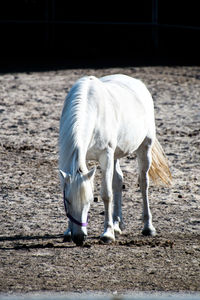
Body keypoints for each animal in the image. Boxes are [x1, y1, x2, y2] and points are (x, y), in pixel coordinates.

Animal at [58, 74, 171, 246]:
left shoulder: (106, 155)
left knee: (143, 183)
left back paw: (148, 227)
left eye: (89, 201)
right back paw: (118, 224)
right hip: (116, 155)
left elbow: (106, 194)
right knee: (118, 180)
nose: (79, 237)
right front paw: (68, 231)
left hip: (144, 147)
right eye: (68, 201)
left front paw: (108, 233)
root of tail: (137, 83)